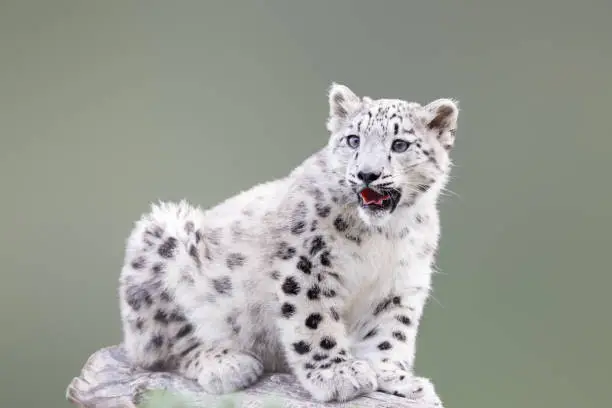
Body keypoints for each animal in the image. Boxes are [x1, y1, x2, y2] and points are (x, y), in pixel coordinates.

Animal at [117, 83, 456, 404]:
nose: (367, 174)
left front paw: (397, 380)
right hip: (162, 247)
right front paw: (337, 374)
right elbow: (314, 320)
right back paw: (226, 363)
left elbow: (389, 334)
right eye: (353, 140)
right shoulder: (307, 263)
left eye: (400, 145)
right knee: (165, 345)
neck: (384, 236)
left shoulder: (399, 285)